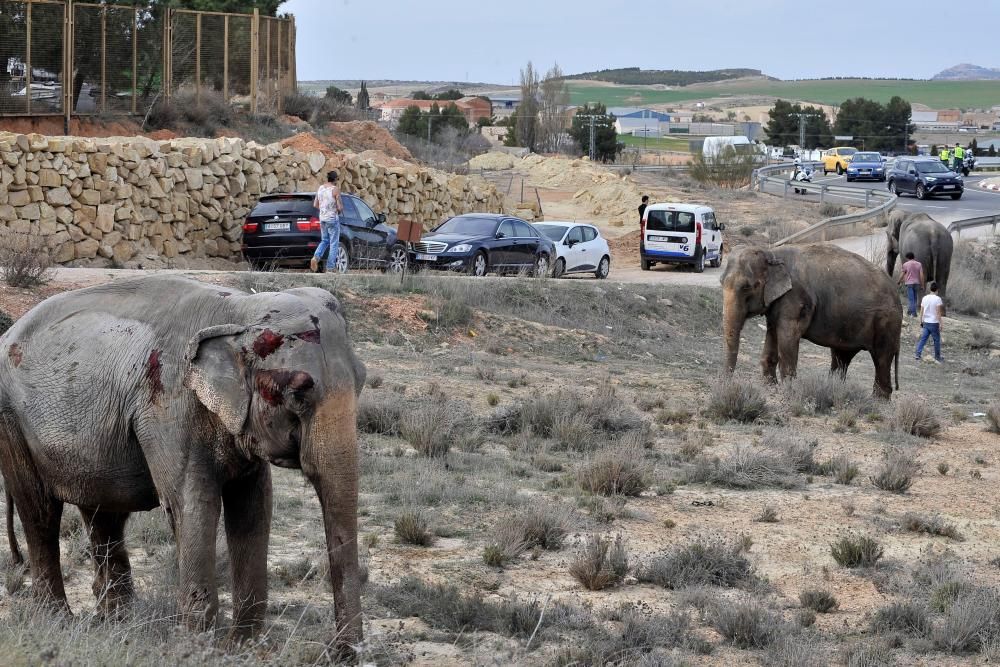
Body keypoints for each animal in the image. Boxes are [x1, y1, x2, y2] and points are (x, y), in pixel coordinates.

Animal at [0, 276, 368, 652]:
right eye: (298, 393)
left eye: (363, 379)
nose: (341, 653)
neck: (238, 312)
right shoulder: (169, 406)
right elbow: (192, 505)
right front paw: (197, 647)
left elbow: (254, 507)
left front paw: (242, 647)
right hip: (11, 421)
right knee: (40, 512)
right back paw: (58, 619)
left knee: (104, 515)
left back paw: (117, 623)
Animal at [724, 248, 904, 400]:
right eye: (721, 282)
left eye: (747, 287)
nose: (728, 383)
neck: (772, 253)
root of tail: (897, 294)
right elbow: (772, 334)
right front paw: (770, 388)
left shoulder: (795, 299)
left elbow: (788, 338)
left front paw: (788, 392)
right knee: (841, 356)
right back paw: (835, 390)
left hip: (887, 322)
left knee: (881, 358)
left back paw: (878, 401)